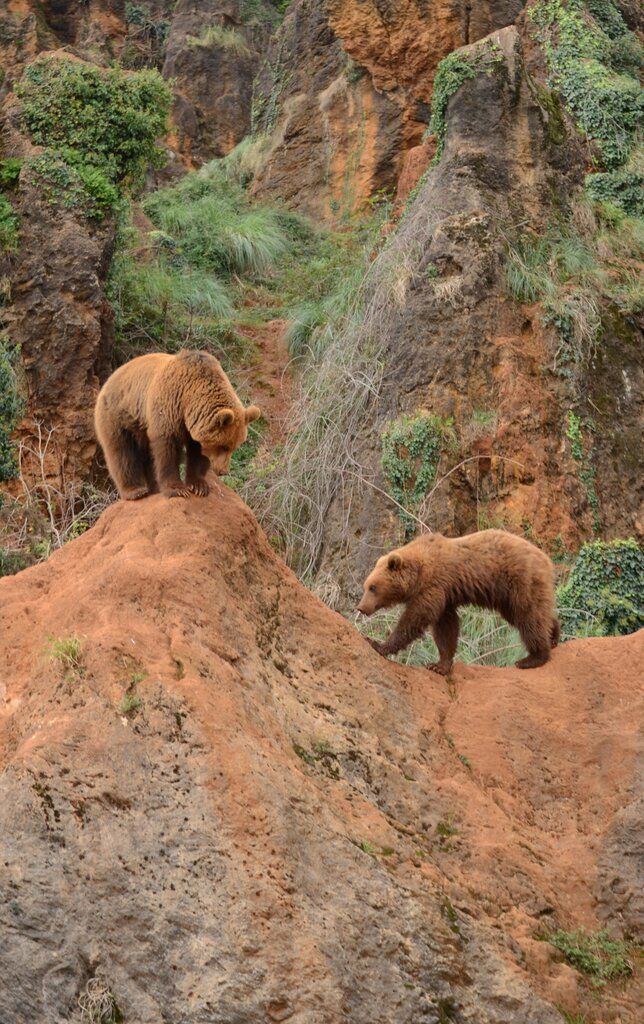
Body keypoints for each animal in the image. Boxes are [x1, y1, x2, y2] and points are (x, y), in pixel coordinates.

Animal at [94, 350, 261, 499]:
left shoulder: (194, 426)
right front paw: (177, 489)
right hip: (119, 414)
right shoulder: (169, 406)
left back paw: (154, 488)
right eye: (224, 446)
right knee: (121, 451)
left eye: (235, 446)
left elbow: (197, 453)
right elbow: (168, 447)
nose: (223, 471)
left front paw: (199, 486)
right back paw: (135, 491)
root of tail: (111, 377)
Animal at [357, 530, 560, 673]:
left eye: (373, 587)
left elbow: (416, 618)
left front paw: (378, 644)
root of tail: (546, 559)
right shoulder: (446, 596)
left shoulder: (433, 587)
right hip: (507, 597)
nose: (361, 608)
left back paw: (532, 658)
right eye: (365, 585)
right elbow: (446, 627)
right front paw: (440, 665)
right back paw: (554, 634)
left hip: (520, 581)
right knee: (529, 615)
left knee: (528, 616)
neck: (418, 572)